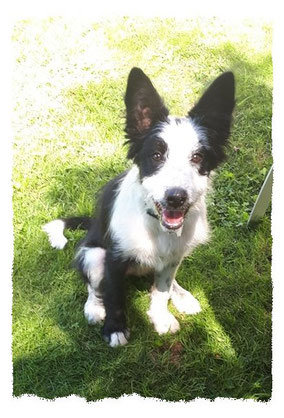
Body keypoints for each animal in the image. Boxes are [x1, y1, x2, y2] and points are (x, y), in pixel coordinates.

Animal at [42, 68, 235, 348]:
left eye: (198, 157)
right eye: (156, 155)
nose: (175, 198)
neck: (154, 223)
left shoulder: (172, 256)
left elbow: (163, 289)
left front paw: (161, 317)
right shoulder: (113, 258)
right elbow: (114, 295)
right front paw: (115, 329)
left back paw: (181, 295)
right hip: (93, 254)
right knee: (92, 284)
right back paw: (93, 308)